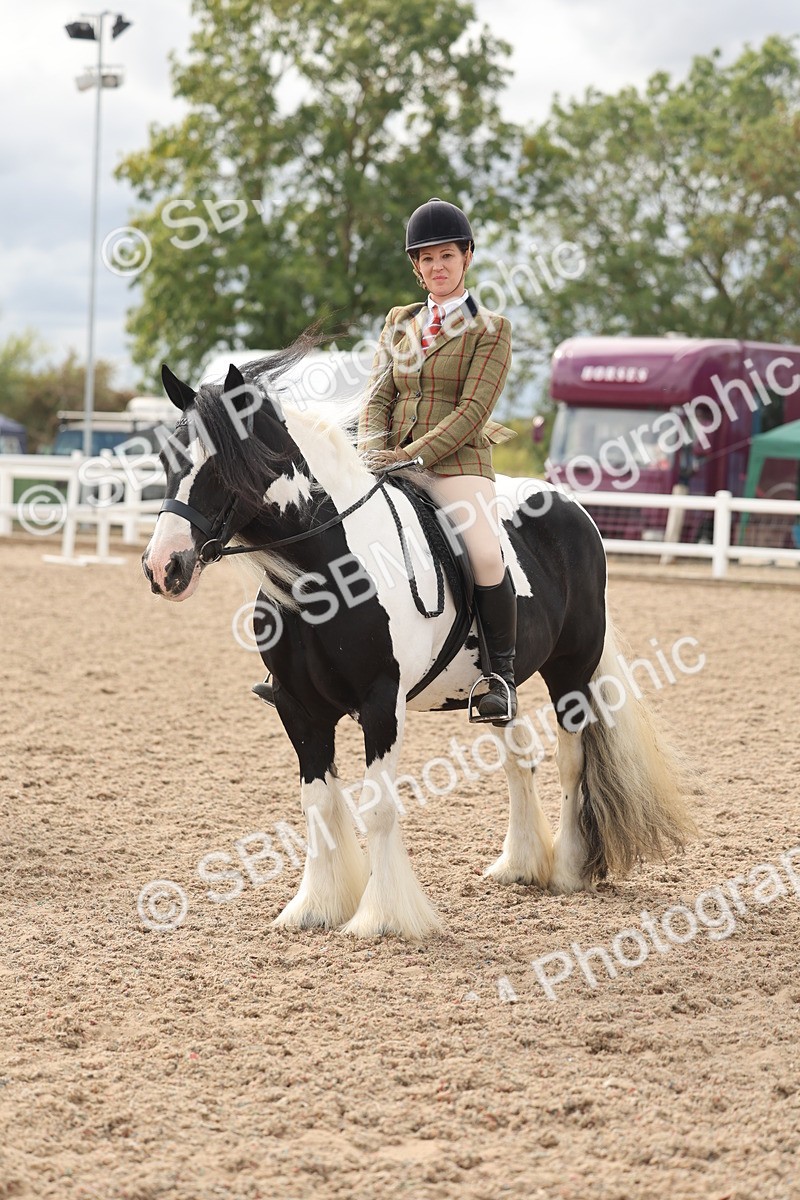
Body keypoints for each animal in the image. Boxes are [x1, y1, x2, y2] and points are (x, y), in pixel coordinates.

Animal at [141, 347, 694, 940]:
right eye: (168, 456)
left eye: (224, 464)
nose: (164, 566)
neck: (325, 572)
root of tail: (573, 507)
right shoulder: (298, 708)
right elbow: (318, 804)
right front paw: (315, 906)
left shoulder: (381, 703)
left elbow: (378, 808)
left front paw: (384, 916)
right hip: (501, 687)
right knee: (518, 759)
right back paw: (519, 865)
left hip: (572, 669)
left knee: (572, 760)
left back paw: (567, 869)